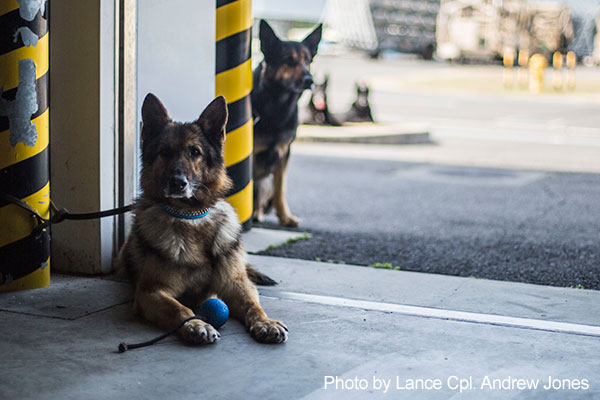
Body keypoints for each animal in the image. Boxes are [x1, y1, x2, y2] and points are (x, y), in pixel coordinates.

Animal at [116, 93, 288, 344]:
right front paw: (196, 324)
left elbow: (253, 305)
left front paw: (266, 322)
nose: (177, 183)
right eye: (164, 152)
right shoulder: (151, 292)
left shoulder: (236, 284)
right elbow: (180, 309)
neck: (191, 217)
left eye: (194, 152)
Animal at [251, 20, 322, 227]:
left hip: (265, 181)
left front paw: (285, 217)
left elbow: (280, 188)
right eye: (288, 61)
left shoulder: (284, 154)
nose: (309, 80)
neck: (278, 106)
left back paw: (257, 213)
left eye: (308, 61)